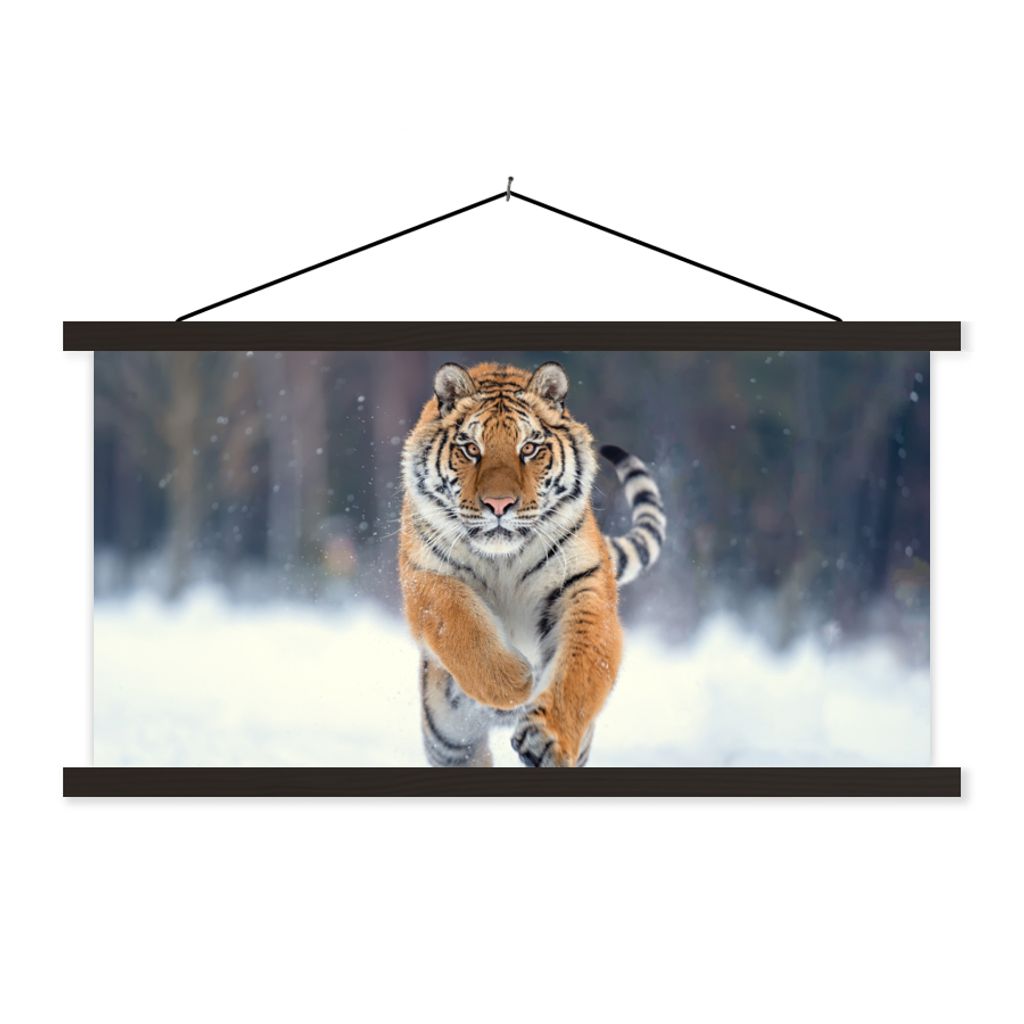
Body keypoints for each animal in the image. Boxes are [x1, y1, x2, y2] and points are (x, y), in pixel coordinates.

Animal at [399, 360, 665, 767]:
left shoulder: (583, 585)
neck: (504, 557)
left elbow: (581, 667)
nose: (498, 505)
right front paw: (515, 681)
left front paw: (547, 737)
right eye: (471, 449)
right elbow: (459, 624)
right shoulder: (425, 577)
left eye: (528, 449)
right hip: (449, 742)